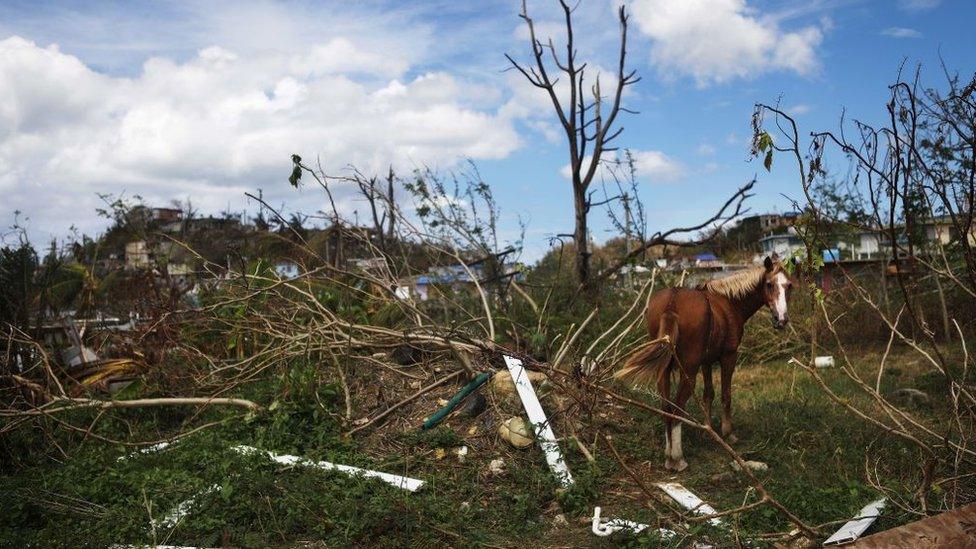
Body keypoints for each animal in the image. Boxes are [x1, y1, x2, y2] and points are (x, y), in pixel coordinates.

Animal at [620, 255, 796, 468]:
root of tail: (672, 303)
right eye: (769, 284)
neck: (729, 302)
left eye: (789, 285)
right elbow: (725, 394)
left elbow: (708, 394)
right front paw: (727, 433)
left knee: (667, 407)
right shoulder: (729, 356)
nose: (781, 320)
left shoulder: (706, 362)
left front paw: (708, 428)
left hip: (666, 369)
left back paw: (669, 454)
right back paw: (677, 458)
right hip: (688, 370)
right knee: (678, 406)